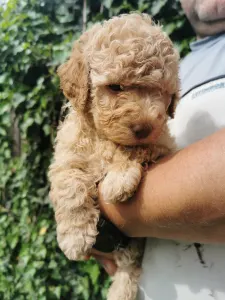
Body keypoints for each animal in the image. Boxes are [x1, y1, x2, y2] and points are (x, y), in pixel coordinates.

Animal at [48, 12, 179, 300]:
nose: (144, 127)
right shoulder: (66, 157)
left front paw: (117, 181)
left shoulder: (163, 144)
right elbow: (70, 187)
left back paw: (121, 290)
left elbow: (134, 149)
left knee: (129, 266)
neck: (102, 137)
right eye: (116, 87)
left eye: (162, 91)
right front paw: (75, 238)